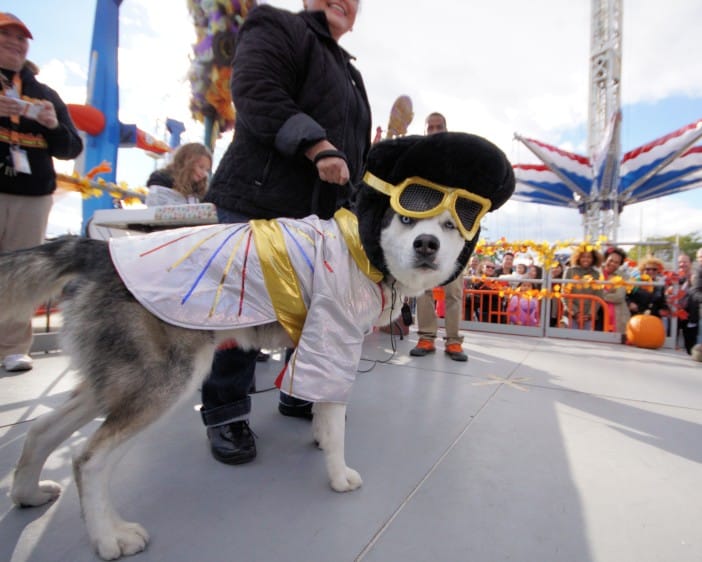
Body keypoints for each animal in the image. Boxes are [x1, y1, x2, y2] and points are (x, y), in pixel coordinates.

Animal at [2, 131, 516, 556]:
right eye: (409, 217)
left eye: (451, 225)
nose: (427, 244)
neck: (362, 247)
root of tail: (100, 249)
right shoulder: (332, 341)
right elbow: (336, 427)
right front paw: (338, 476)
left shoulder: (314, 348)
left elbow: (319, 410)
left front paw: (316, 435)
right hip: (163, 382)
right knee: (89, 460)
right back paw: (110, 537)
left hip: (114, 382)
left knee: (41, 430)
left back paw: (28, 493)